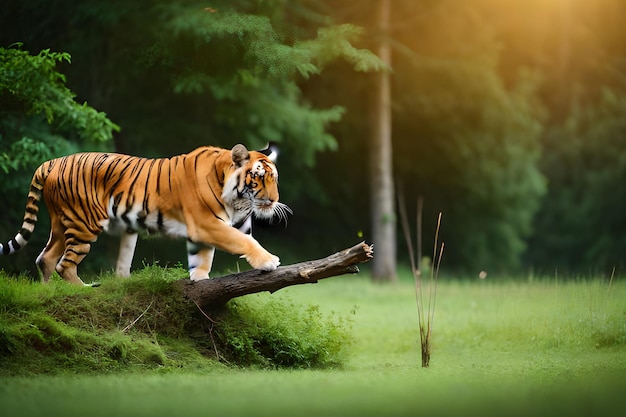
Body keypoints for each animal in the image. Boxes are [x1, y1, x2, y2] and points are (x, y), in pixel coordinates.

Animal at [0, 144, 292, 286]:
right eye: (259, 178)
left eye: (275, 179)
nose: (274, 200)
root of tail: (53, 161)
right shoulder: (207, 223)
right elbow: (243, 241)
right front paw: (269, 261)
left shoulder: (204, 229)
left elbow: (201, 257)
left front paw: (199, 279)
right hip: (83, 223)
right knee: (64, 264)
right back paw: (84, 289)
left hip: (62, 221)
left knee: (45, 258)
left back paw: (48, 294)